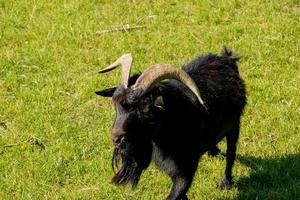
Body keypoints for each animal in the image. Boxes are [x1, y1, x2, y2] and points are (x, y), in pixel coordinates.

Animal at [95, 48, 246, 200]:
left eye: (145, 108)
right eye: (115, 103)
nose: (116, 138)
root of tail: (226, 58)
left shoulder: (186, 170)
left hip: (235, 124)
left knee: (231, 153)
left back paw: (225, 183)